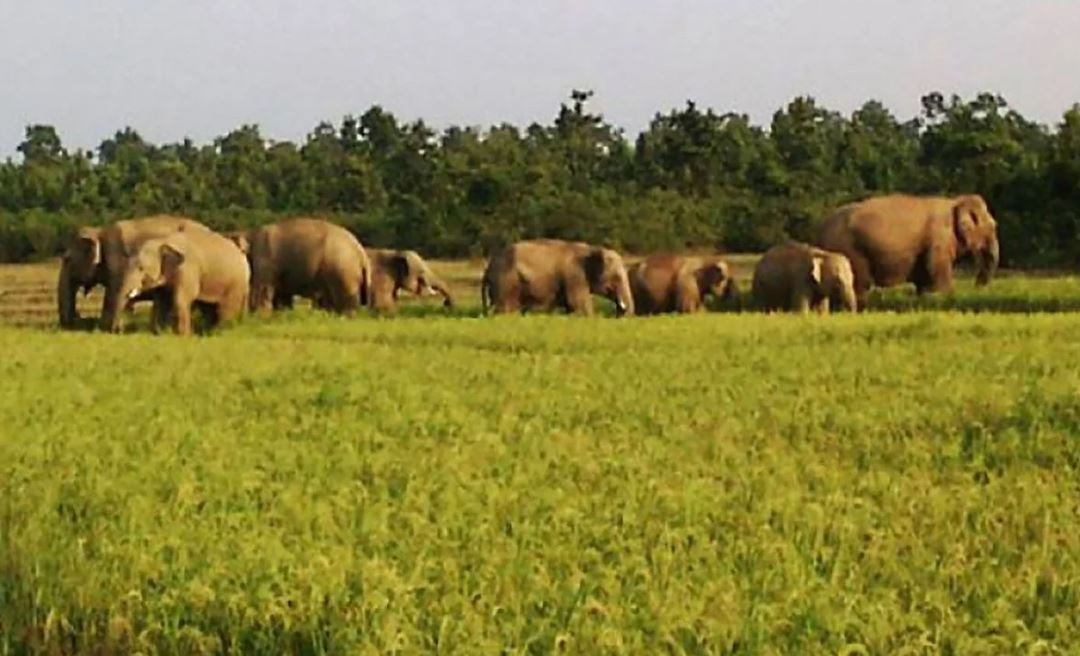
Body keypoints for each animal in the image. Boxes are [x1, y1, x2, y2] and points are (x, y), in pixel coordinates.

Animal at [57, 216, 210, 330]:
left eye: (67, 260)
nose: (78, 317)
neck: (99, 231)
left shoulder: (117, 262)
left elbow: (112, 294)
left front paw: (106, 327)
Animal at [116, 228, 250, 337]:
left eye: (141, 268)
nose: (120, 330)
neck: (163, 241)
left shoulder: (187, 269)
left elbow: (181, 298)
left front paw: (183, 337)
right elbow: (161, 302)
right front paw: (158, 334)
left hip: (236, 283)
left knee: (226, 308)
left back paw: (221, 333)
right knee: (209, 308)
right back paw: (207, 333)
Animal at [236, 218, 371, 315]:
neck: (249, 233)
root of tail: (361, 252)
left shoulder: (265, 260)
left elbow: (262, 289)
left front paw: (259, 316)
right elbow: (282, 295)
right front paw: (282, 314)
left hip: (343, 270)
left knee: (345, 299)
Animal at [481, 239, 630, 317]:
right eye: (617, 277)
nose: (619, 313)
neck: (591, 249)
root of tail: (488, 267)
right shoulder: (574, 277)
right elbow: (580, 307)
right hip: (506, 283)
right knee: (506, 311)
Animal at [816, 193, 1002, 309]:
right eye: (993, 227)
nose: (977, 287)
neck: (955, 202)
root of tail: (820, 229)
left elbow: (924, 276)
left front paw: (925, 298)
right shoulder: (939, 238)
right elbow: (936, 268)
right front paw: (947, 296)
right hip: (851, 249)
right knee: (859, 284)